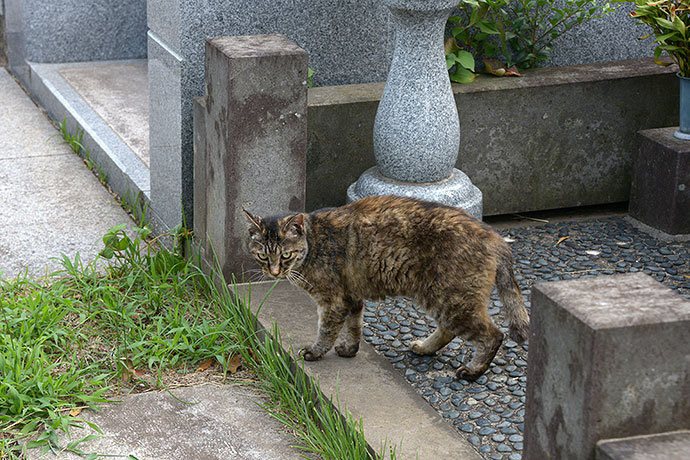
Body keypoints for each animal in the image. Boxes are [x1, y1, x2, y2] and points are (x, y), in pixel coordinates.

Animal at [245, 194, 528, 380]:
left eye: (285, 255)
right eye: (262, 256)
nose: (274, 272)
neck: (314, 243)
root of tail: (494, 237)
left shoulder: (333, 302)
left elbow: (326, 331)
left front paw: (315, 352)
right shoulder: (352, 297)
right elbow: (354, 327)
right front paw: (349, 349)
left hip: (453, 302)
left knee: (494, 335)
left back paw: (472, 370)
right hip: (442, 299)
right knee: (448, 330)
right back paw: (425, 348)